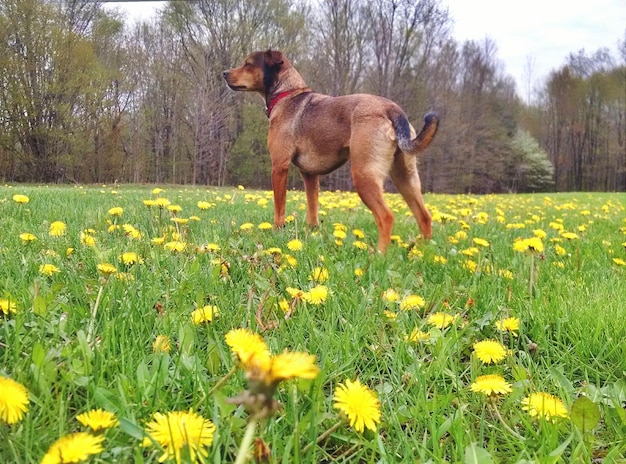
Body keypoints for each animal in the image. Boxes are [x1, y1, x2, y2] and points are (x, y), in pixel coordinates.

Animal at [222, 49, 436, 252]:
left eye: (248, 64)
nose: (224, 73)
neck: (288, 94)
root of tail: (392, 109)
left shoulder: (279, 166)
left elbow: (279, 206)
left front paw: (277, 230)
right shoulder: (310, 174)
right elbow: (313, 207)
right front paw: (312, 231)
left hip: (364, 175)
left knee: (386, 216)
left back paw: (379, 254)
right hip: (405, 177)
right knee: (424, 216)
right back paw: (423, 252)